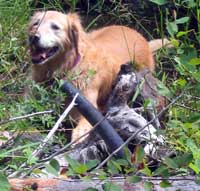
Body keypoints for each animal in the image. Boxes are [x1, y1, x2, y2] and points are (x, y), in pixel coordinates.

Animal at [27, 10, 169, 142]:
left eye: (55, 27)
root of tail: (143, 39)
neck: (67, 68)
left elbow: (80, 132)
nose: (33, 36)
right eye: (36, 23)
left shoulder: (89, 110)